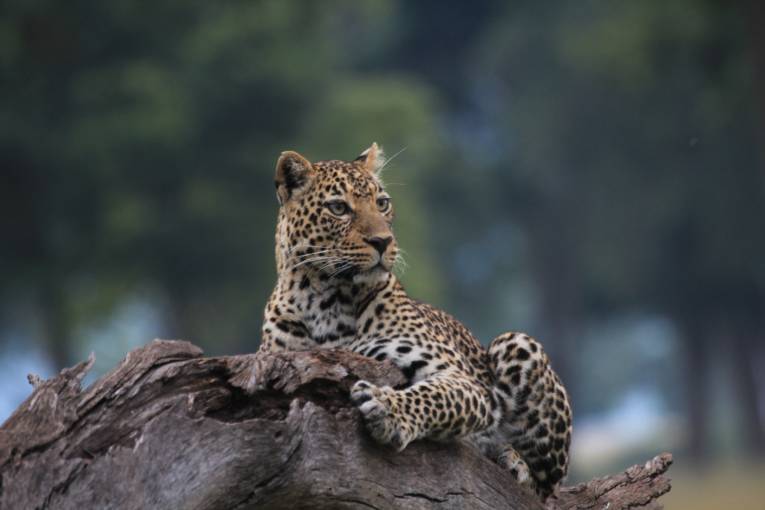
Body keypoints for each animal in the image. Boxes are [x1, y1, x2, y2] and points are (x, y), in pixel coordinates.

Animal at [260, 142, 572, 498]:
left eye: (382, 204)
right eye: (338, 208)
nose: (382, 241)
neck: (325, 299)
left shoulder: (464, 381)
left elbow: (432, 396)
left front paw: (387, 408)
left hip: (518, 343)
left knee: (545, 486)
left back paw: (513, 462)